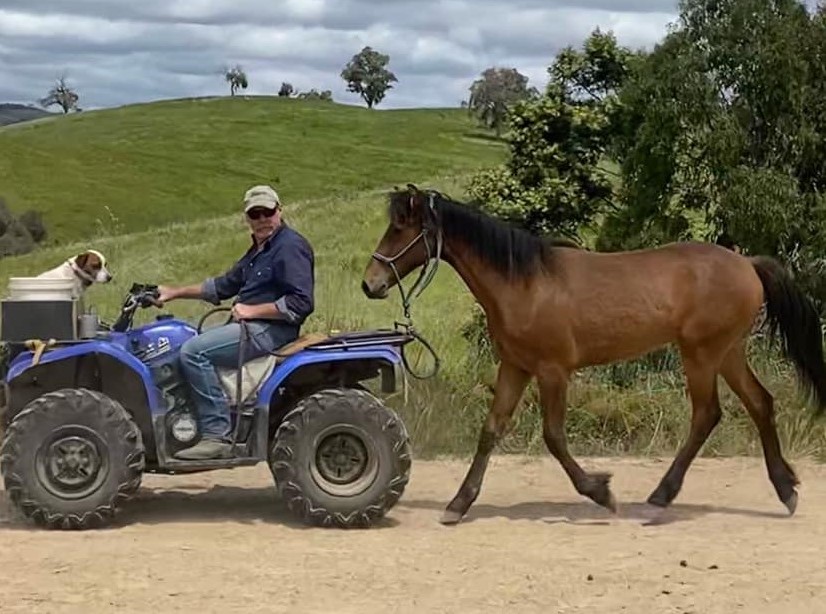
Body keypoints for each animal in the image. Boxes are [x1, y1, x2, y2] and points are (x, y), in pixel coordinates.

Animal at [360, 183, 824, 524]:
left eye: (400, 229)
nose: (371, 283)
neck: (523, 284)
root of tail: (748, 264)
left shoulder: (552, 371)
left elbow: (553, 436)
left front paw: (601, 492)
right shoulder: (515, 366)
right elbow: (491, 430)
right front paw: (459, 504)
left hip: (702, 354)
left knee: (707, 414)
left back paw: (661, 496)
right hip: (727, 352)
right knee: (760, 403)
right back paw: (786, 490)